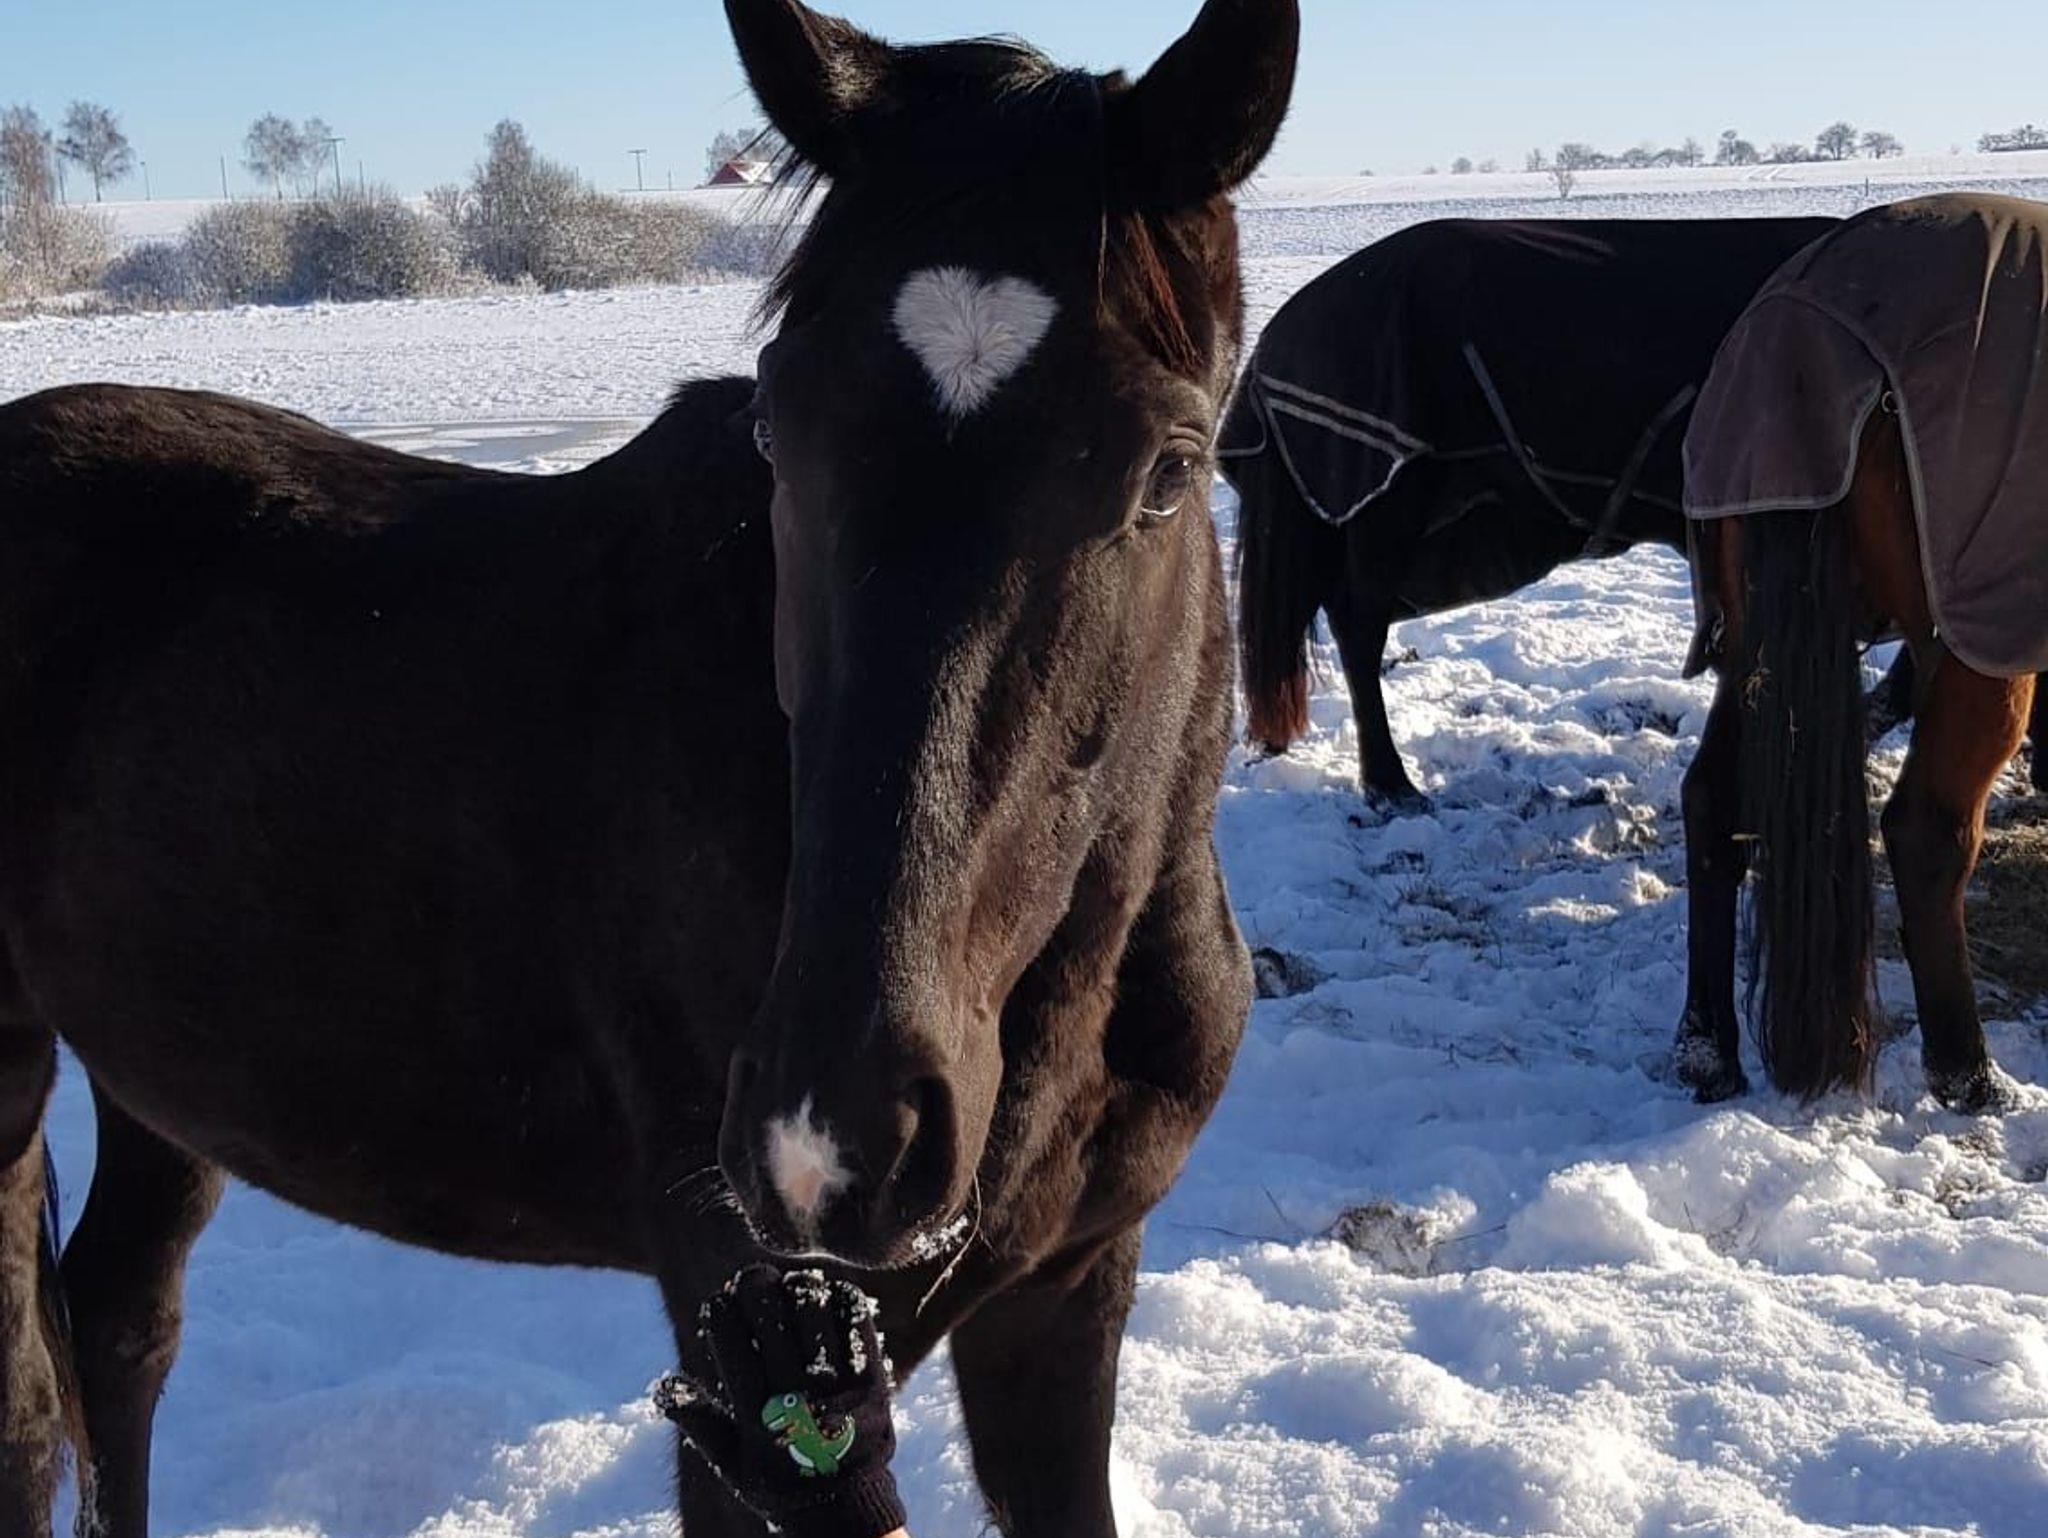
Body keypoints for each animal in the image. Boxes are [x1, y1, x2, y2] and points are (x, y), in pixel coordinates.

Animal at [0, 1, 1302, 1532]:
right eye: (779, 430)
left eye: (1166, 470)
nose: (832, 1135)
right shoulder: (761, 1378)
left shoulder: (1065, 1292)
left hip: (159, 1074)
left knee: (121, 1325)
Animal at [1676, 193, 2048, 1111]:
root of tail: (1799, 339)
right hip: (1979, 655)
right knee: (1924, 835)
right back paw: (1968, 1073)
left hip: (1756, 642)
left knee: (1711, 801)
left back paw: (1707, 1048)